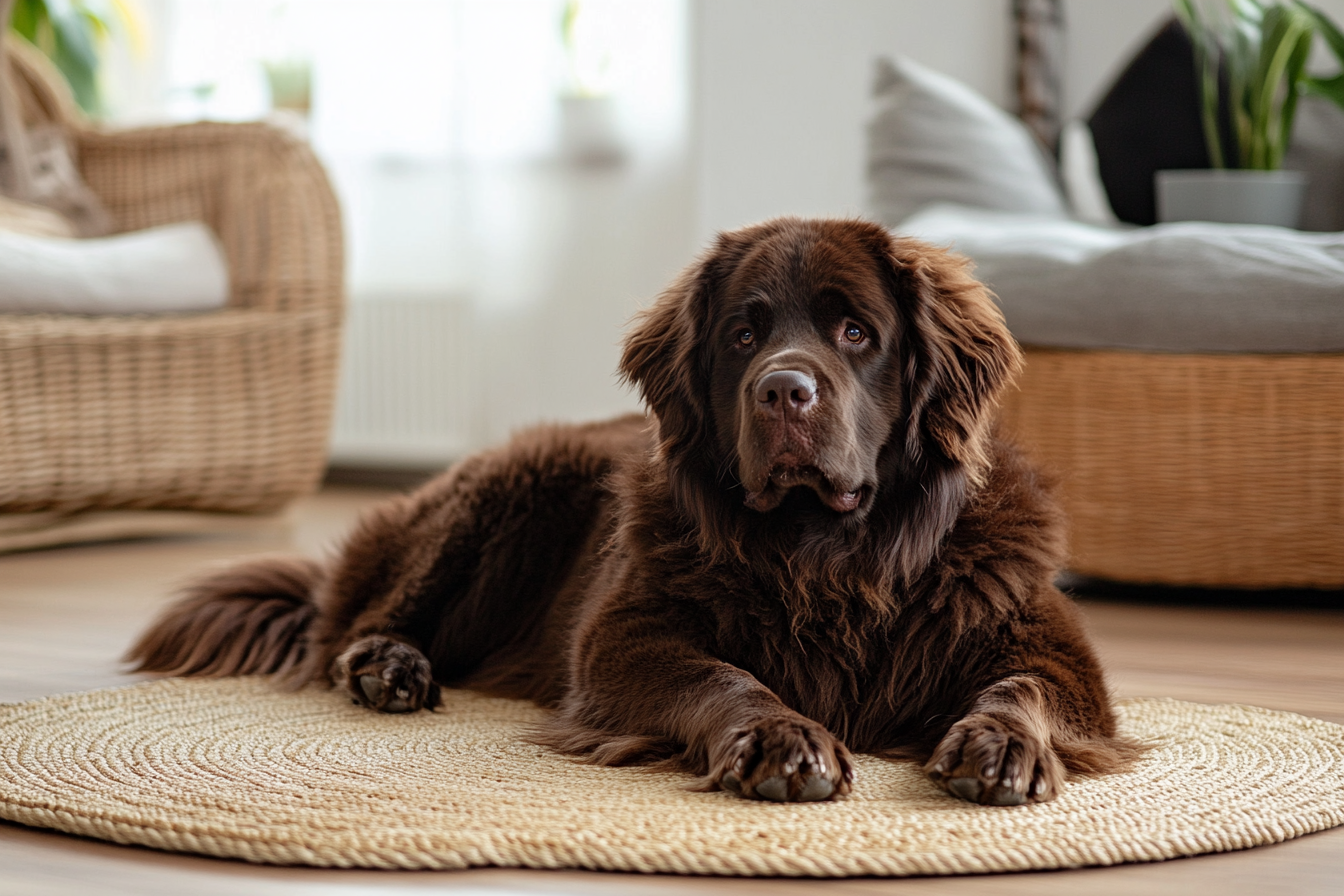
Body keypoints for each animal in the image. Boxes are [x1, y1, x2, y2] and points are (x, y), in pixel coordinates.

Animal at [128, 214, 1134, 805]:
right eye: (743, 334)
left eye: (856, 332)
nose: (783, 392)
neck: (831, 558)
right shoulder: (621, 641)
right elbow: (723, 676)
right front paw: (784, 741)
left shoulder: (1050, 651)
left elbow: (1022, 687)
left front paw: (999, 748)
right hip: (508, 486)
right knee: (356, 622)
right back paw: (389, 669)